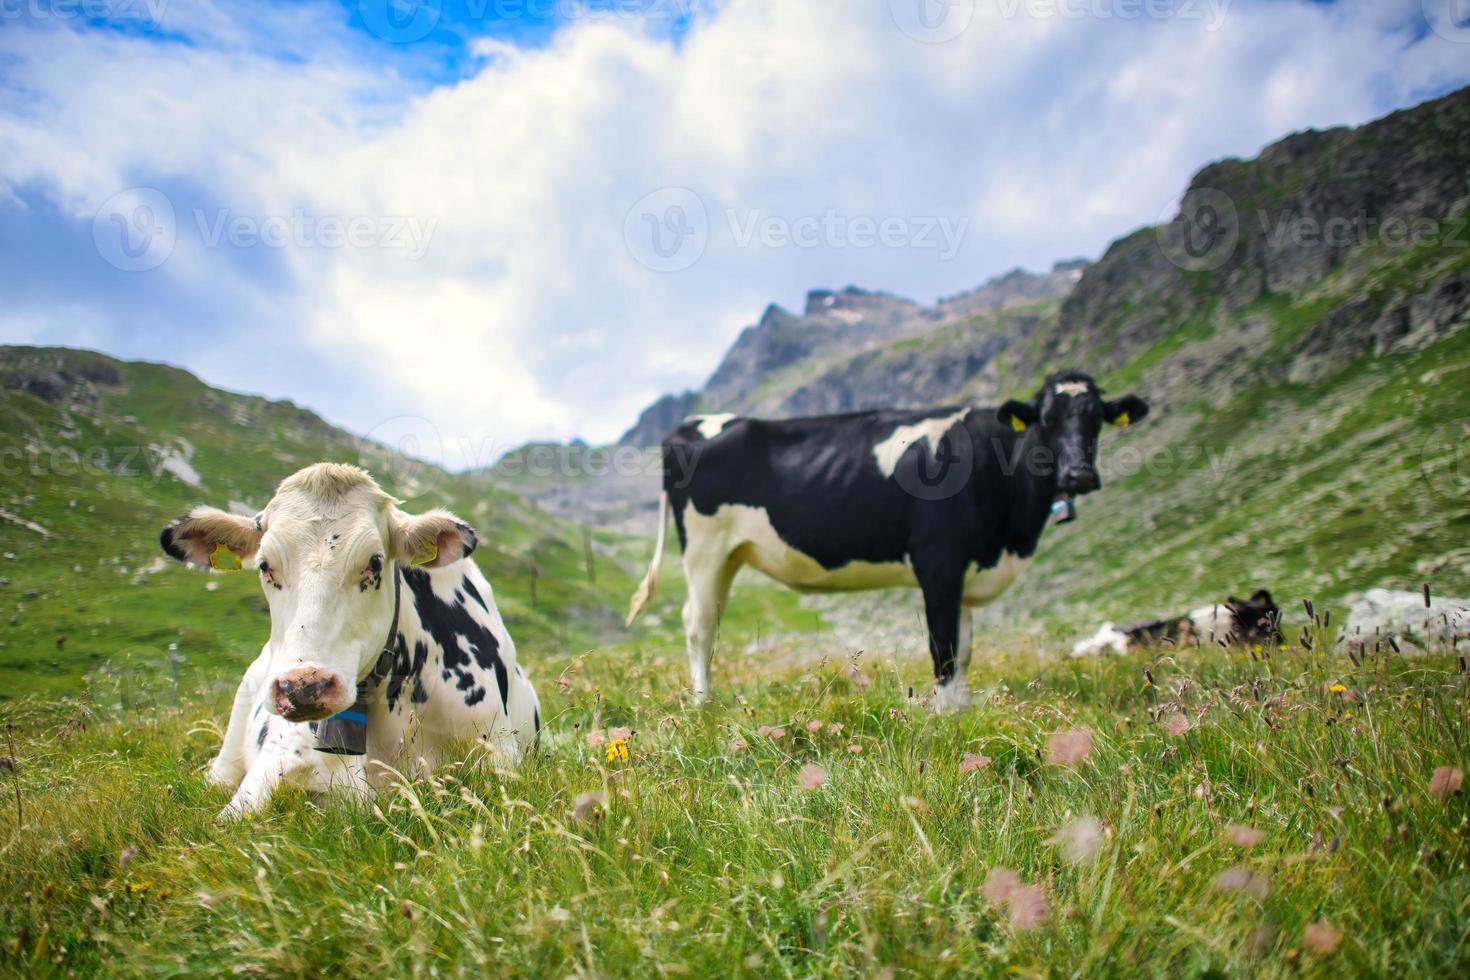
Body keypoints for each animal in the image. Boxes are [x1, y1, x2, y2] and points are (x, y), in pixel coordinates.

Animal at [620, 371, 1146, 708]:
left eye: (1096, 418)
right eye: (1045, 419)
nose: (1079, 475)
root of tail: (692, 425)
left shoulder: (966, 571)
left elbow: (965, 650)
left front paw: (963, 713)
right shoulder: (939, 562)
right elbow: (944, 649)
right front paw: (948, 720)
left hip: (730, 555)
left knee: (708, 623)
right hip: (704, 549)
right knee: (698, 625)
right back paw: (701, 707)